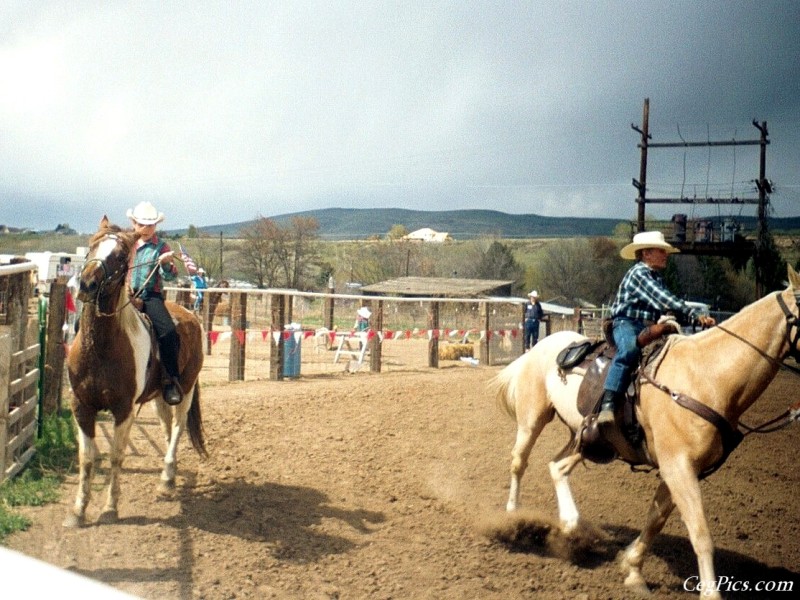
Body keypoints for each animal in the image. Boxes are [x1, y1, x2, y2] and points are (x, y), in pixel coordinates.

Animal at [64, 218, 206, 528]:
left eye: (119, 256)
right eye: (92, 245)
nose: (87, 284)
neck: (103, 347)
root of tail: (191, 316)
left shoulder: (123, 409)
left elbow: (116, 456)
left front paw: (110, 508)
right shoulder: (81, 406)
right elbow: (87, 458)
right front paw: (78, 511)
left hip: (187, 389)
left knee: (178, 428)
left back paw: (166, 480)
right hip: (161, 397)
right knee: (167, 428)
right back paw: (170, 476)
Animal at [490, 268, 800, 600]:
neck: (706, 376)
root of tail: (540, 346)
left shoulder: (680, 469)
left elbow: (656, 519)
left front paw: (632, 569)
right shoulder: (678, 466)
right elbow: (700, 533)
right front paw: (710, 593)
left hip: (586, 438)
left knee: (557, 466)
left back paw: (571, 526)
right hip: (532, 419)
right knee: (519, 462)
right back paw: (512, 518)